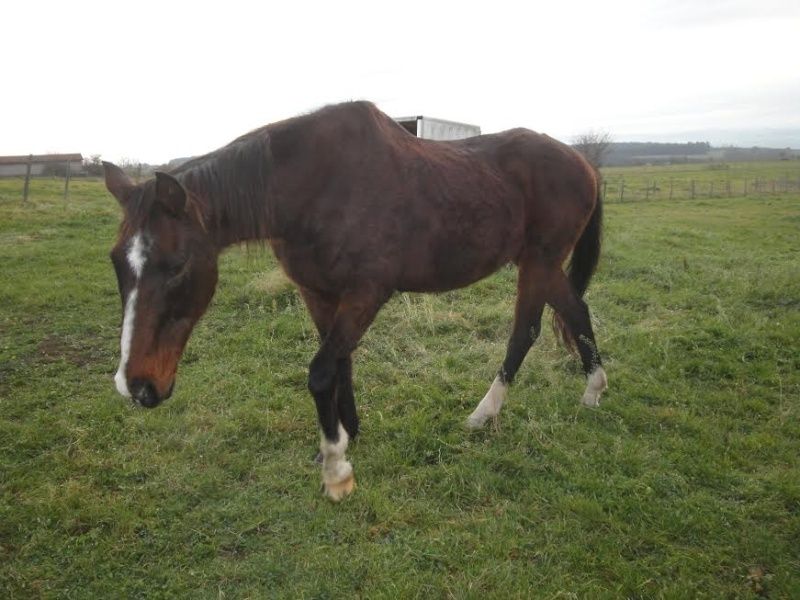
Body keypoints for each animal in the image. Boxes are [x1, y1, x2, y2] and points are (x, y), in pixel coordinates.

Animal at [104, 99, 608, 502]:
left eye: (177, 265)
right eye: (116, 263)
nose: (138, 386)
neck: (312, 188)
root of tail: (582, 162)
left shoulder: (368, 293)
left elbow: (321, 371)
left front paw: (336, 469)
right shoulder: (319, 293)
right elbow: (340, 362)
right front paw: (349, 432)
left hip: (538, 261)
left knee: (526, 330)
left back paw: (486, 413)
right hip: (539, 263)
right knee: (574, 312)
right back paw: (592, 391)